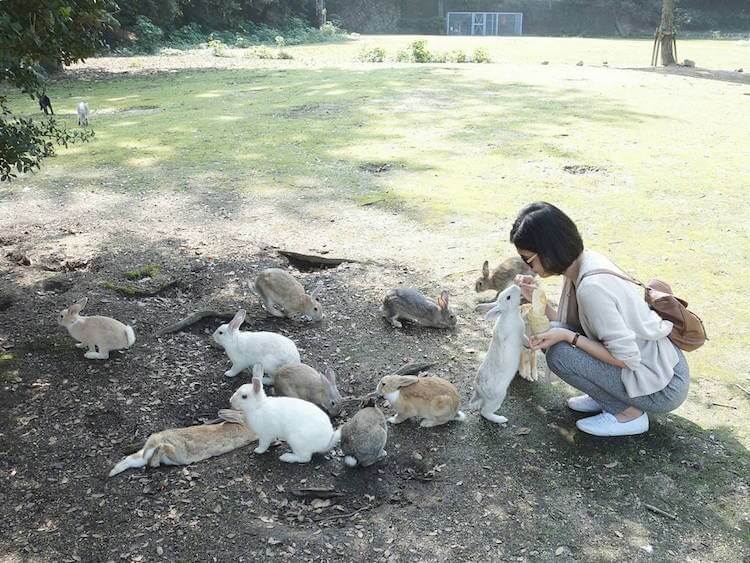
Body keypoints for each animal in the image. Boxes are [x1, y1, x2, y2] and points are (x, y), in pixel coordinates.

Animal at [107, 408, 258, 478]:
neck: (243, 423)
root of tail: (155, 440)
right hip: (177, 453)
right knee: (161, 451)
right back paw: (153, 463)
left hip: (145, 457)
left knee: (131, 459)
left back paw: (112, 472)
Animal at [470, 284, 528, 426]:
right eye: (508, 297)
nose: (516, 286)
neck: (510, 313)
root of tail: (479, 390)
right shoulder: (520, 334)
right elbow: (523, 339)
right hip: (498, 397)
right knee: (484, 412)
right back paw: (501, 419)